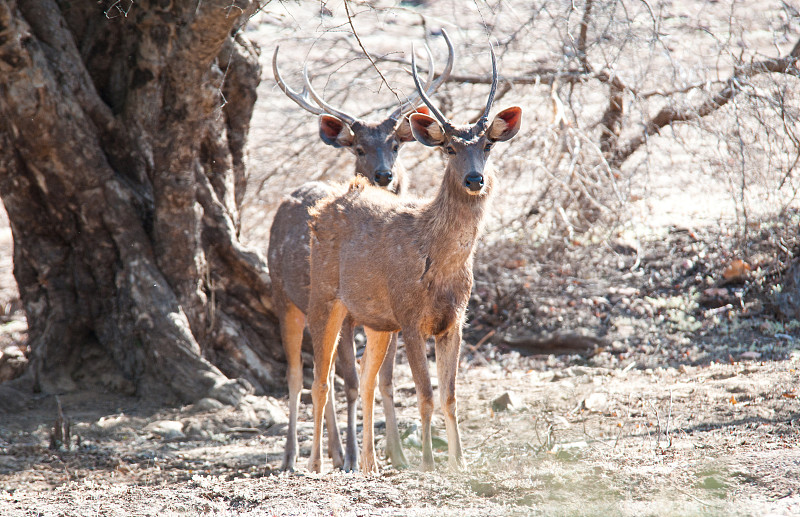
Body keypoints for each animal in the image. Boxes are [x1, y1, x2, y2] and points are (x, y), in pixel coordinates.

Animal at [268, 35, 454, 472]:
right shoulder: (351, 311)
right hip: (286, 298)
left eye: (394, 144)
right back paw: (296, 456)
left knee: (326, 372)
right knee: (299, 377)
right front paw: (356, 456)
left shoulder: (386, 316)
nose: (384, 175)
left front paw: (394, 454)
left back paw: (335, 451)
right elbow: (352, 383)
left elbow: (383, 379)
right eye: (357, 148)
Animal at [304, 42, 520, 474]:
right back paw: (317, 465)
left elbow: (450, 396)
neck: (440, 263)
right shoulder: (409, 316)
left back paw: (369, 464)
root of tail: (322, 208)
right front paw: (429, 462)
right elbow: (425, 394)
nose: (475, 179)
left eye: (487, 145)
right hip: (324, 294)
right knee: (321, 380)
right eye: (449, 147)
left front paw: (459, 462)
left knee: (367, 379)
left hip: (376, 321)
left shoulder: (454, 320)